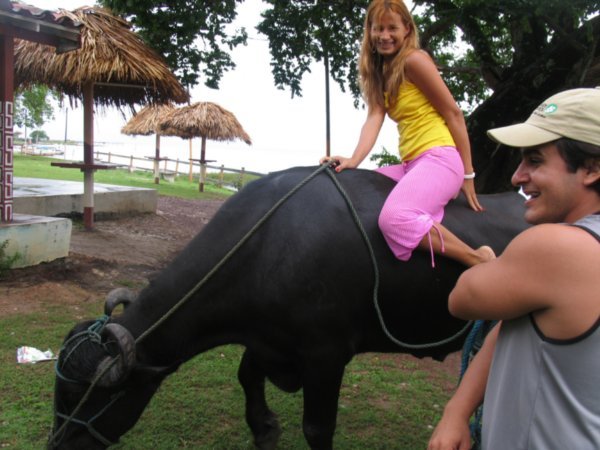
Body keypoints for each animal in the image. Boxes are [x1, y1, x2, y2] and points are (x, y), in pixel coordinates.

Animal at [51, 166, 528, 450]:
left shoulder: (326, 355)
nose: (58, 444)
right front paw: (265, 428)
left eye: (79, 395)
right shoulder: (266, 340)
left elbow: (317, 426)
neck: (269, 245)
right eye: (60, 389)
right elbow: (247, 376)